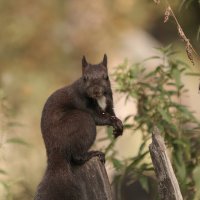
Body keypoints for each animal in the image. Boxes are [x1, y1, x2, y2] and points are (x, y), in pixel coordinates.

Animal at [34, 54, 123, 200]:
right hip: (83, 121)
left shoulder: (109, 103)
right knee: (76, 156)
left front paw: (119, 127)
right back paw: (94, 153)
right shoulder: (82, 103)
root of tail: (56, 149)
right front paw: (113, 122)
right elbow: (99, 118)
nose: (96, 90)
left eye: (106, 77)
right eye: (85, 77)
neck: (99, 99)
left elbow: (111, 113)